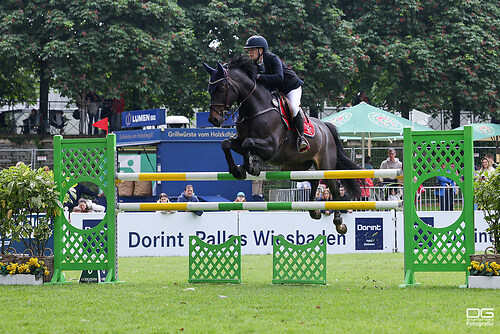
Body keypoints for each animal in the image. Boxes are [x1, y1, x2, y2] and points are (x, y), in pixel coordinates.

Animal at [201, 54, 362, 234]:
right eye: (209, 89)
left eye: (221, 89)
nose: (214, 120)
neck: (254, 109)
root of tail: (325, 127)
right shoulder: (241, 141)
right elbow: (226, 144)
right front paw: (238, 170)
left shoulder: (271, 147)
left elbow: (247, 144)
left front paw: (250, 167)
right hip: (294, 166)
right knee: (313, 181)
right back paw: (314, 211)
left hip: (325, 166)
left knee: (334, 187)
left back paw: (339, 223)